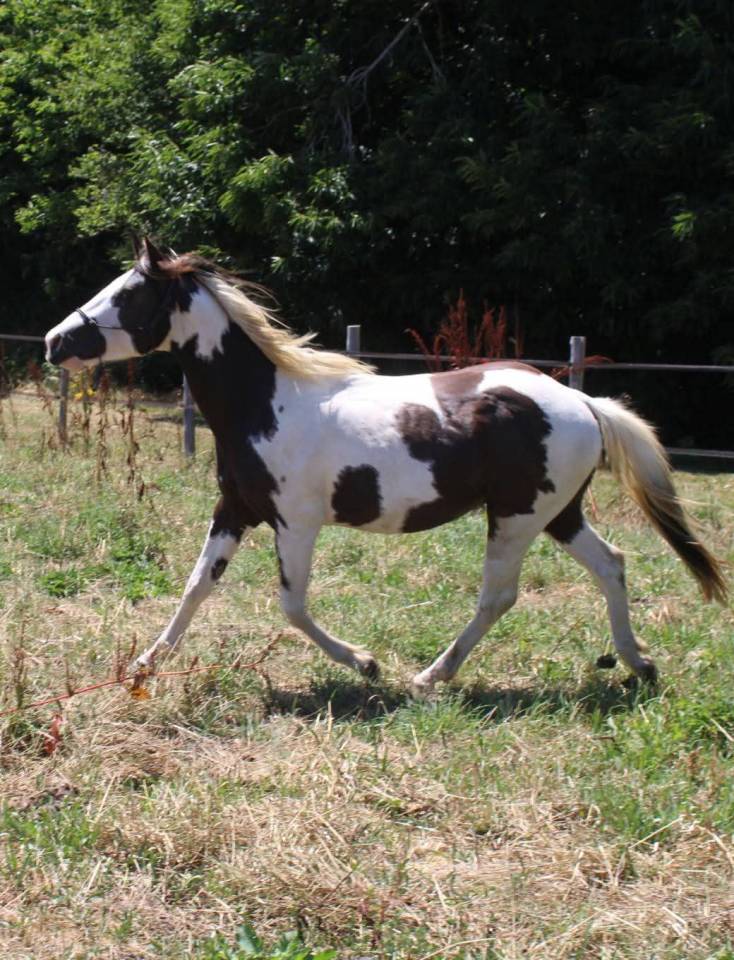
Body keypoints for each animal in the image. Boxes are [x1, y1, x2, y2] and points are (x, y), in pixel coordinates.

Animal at [45, 238, 727, 692]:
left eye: (128, 294)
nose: (54, 341)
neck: (267, 403)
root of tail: (584, 402)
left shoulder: (296, 523)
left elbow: (291, 605)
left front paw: (366, 664)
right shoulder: (235, 509)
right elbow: (196, 586)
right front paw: (143, 666)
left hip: (515, 518)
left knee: (498, 596)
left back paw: (431, 676)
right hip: (557, 514)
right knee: (612, 564)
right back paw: (638, 664)